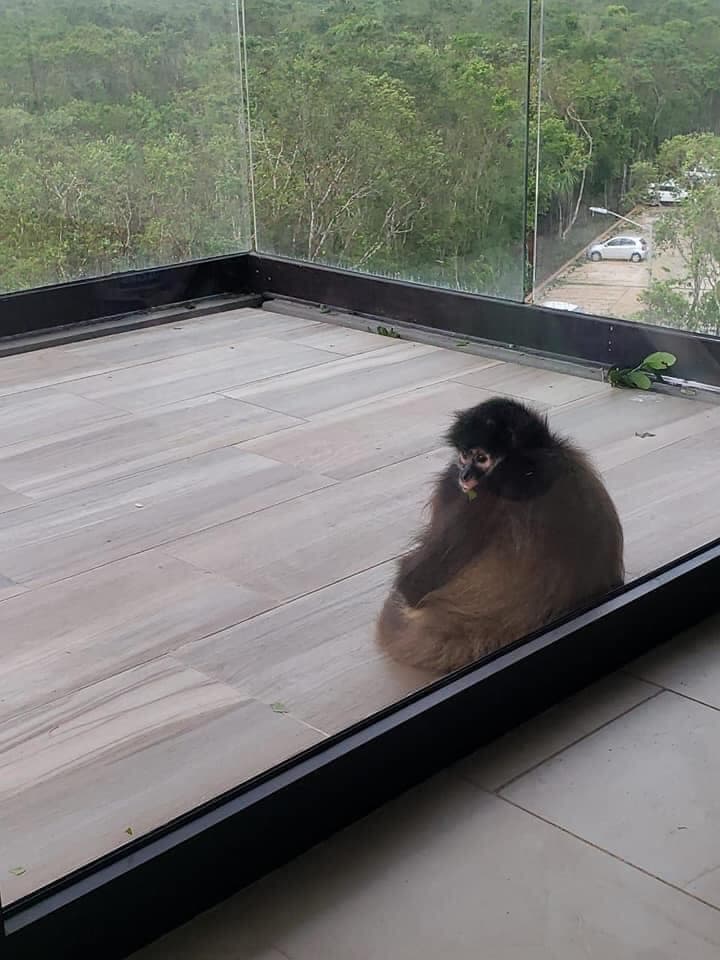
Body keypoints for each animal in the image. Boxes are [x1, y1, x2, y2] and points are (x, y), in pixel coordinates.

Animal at [376, 396, 624, 675]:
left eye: (482, 458)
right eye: (465, 455)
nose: (465, 475)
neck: (530, 462)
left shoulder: (491, 491)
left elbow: (413, 582)